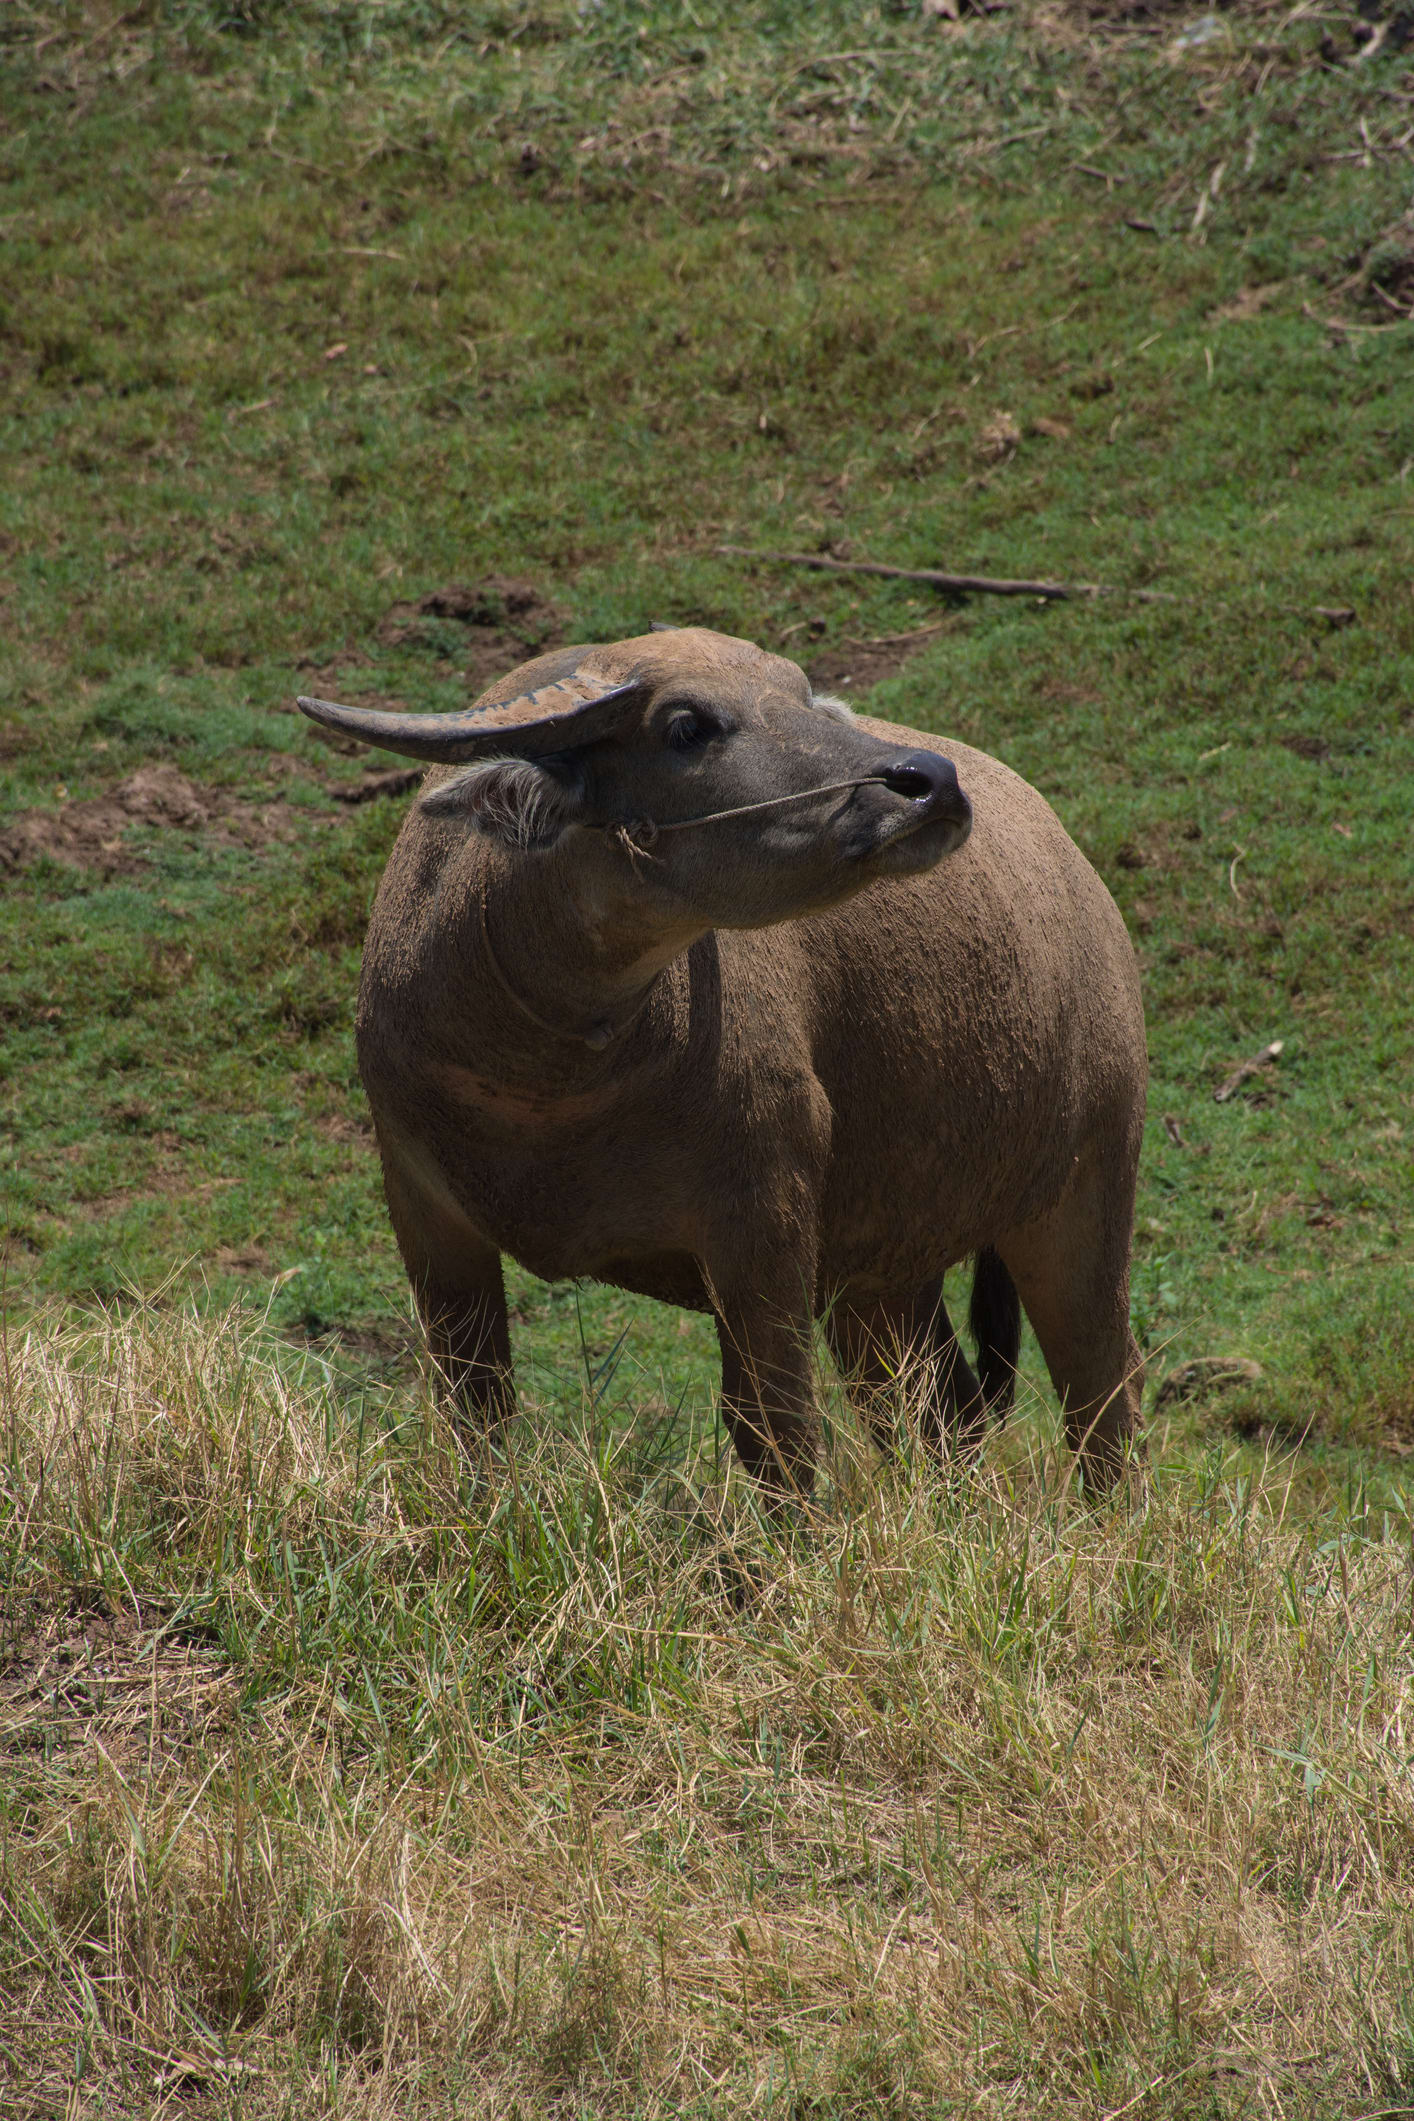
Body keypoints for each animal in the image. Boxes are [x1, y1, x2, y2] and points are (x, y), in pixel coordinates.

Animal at [301, 623, 1153, 1493]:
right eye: (685, 726)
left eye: (801, 693)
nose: (928, 781)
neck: (549, 1080)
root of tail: (1087, 889)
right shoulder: (427, 1216)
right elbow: (476, 1412)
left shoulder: (762, 1226)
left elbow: (775, 1432)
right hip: (881, 1272)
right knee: (943, 1406)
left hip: (1083, 1194)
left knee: (1102, 1397)